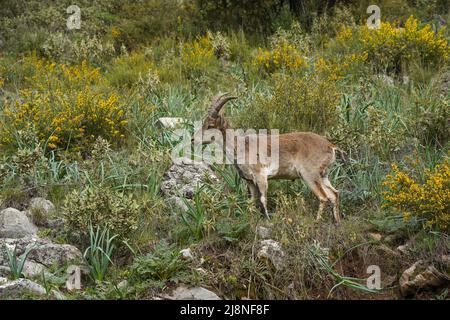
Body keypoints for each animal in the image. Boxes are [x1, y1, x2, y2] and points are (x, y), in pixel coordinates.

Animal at [193, 92, 344, 222]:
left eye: (210, 125)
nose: (193, 140)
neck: (242, 146)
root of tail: (330, 146)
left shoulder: (261, 176)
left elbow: (263, 199)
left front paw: (267, 219)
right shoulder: (250, 181)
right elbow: (251, 201)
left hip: (309, 175)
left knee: (323, 197)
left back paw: (317, 221)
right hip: (323, 176)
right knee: (334, 194)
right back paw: (336, 222)